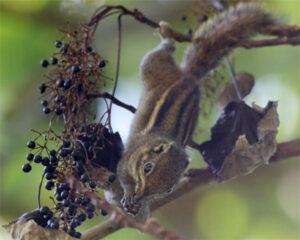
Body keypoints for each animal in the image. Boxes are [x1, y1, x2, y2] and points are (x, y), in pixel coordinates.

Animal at [105, 3, 276, 218]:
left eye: (167, 189)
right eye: (147, 168)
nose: (141, 195)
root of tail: (189, 78)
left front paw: (137, 202)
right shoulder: (128, 158)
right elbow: (122, 174)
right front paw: (129, 193)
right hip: (153, 67)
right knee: (160, 53)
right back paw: (167, 35)